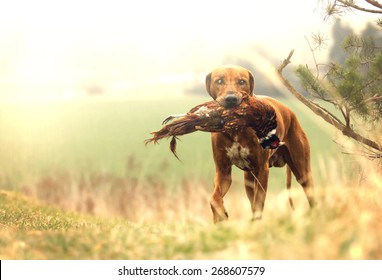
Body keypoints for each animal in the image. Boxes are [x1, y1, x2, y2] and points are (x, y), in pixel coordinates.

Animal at [206, 65, 314, 223]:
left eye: (242, 81)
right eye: (219, 81)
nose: (231, 99)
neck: (236, 129)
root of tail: (290, 112)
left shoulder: (262, 170)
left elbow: (259, 203)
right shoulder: (223, 172)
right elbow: (214, 198)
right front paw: (220, 215)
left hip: (302, 171)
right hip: (249, 179)